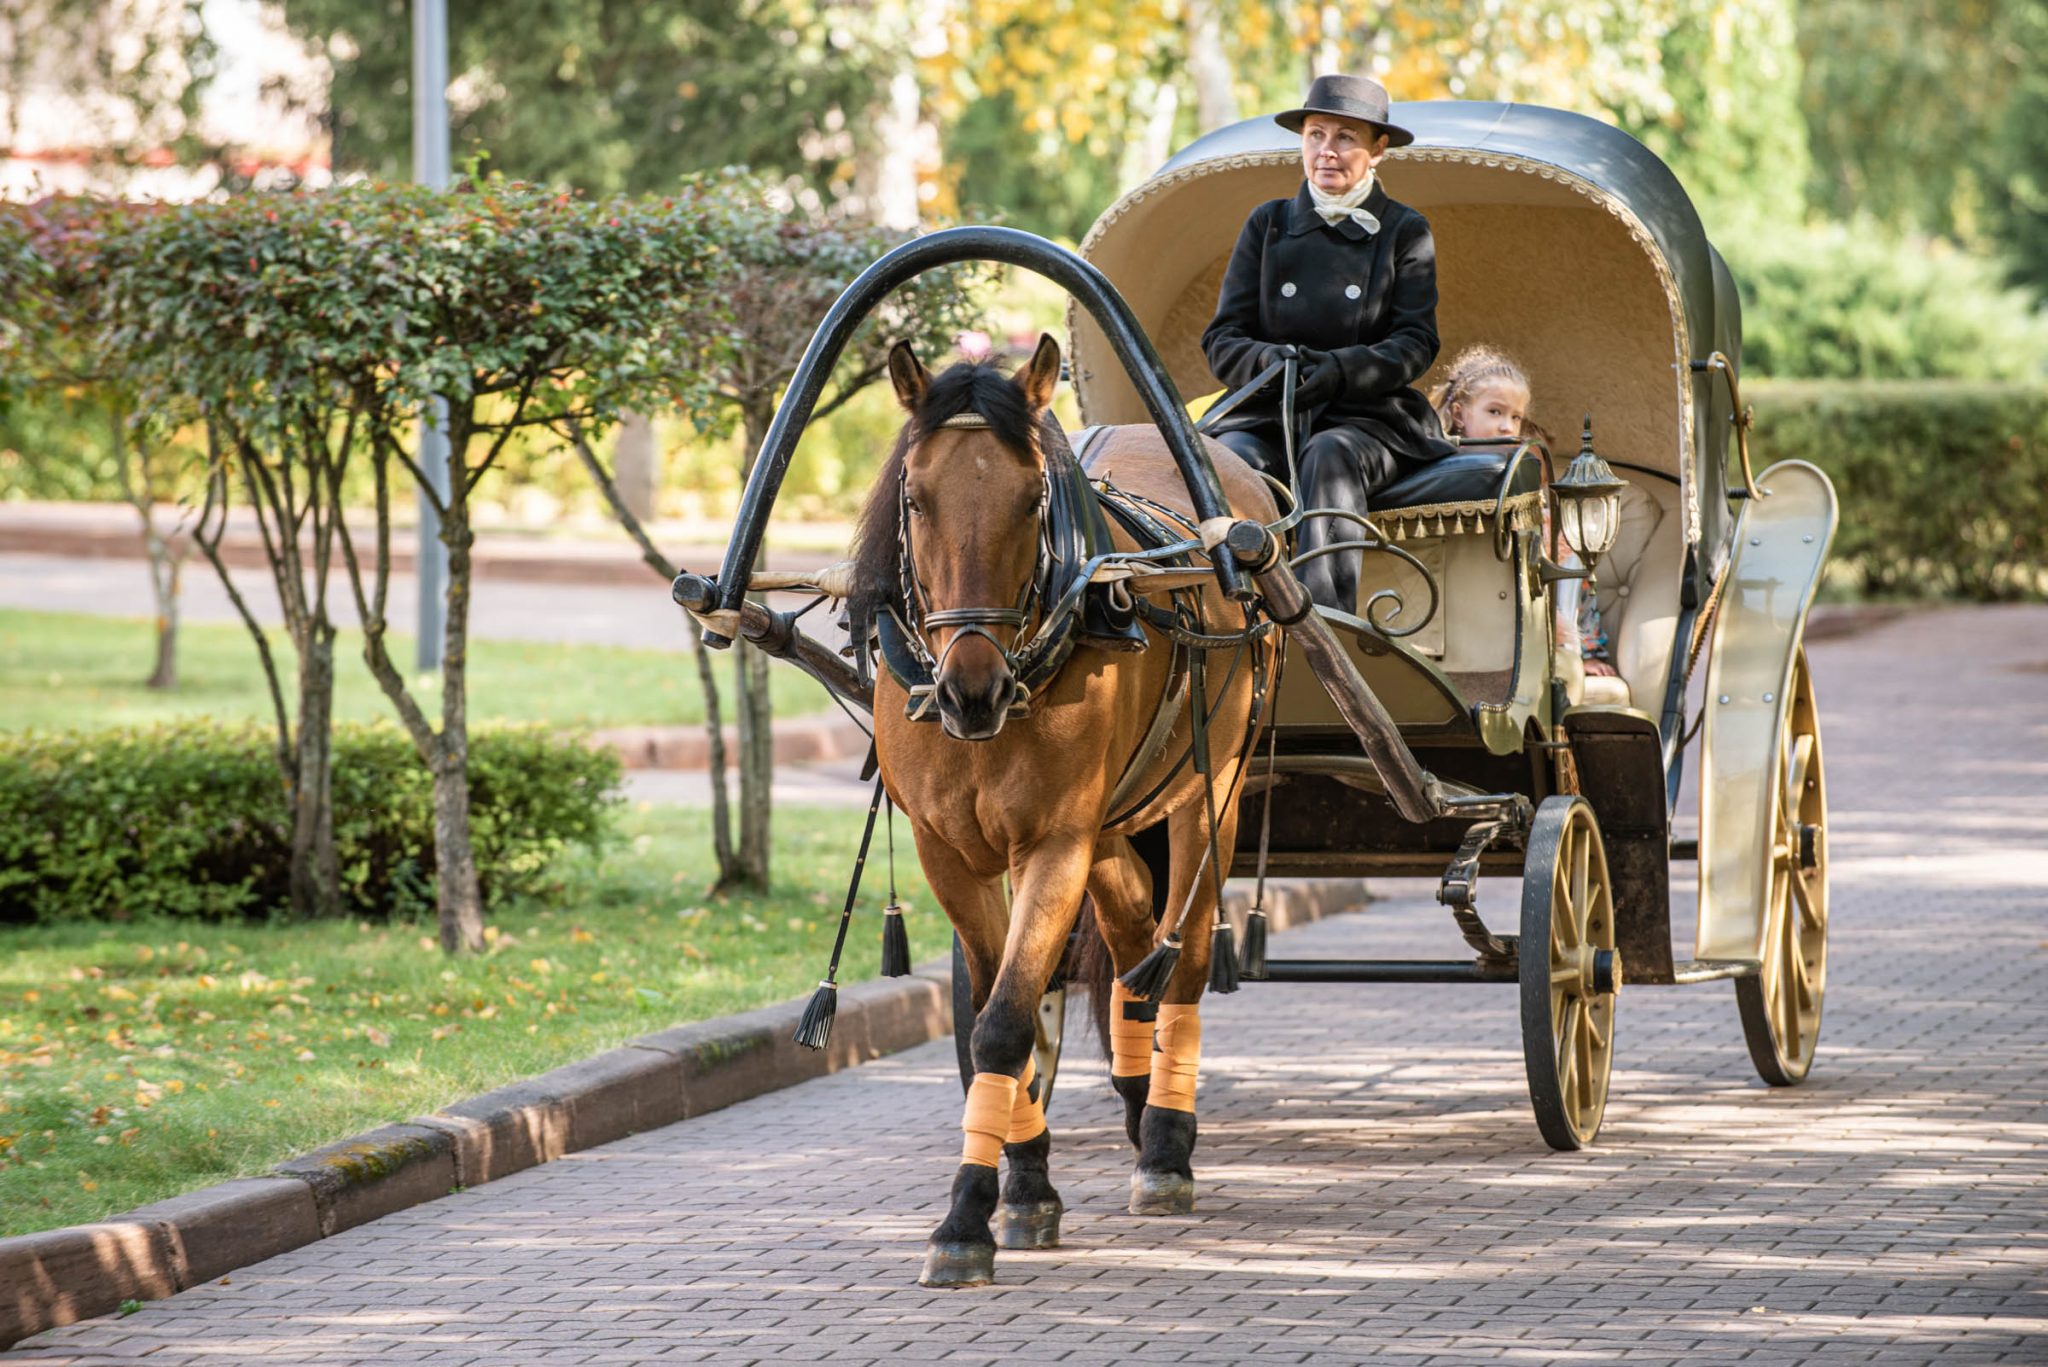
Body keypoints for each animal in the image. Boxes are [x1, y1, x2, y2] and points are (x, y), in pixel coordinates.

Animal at [860, 327, 1277, 1287]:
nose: (969, 688)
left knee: (1184, 956)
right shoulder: (950, 852)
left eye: (1028, 498)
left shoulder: (1054, 842)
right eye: (916, 497)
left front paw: (967, 1217)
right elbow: (994, 1008)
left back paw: (1165, 1141)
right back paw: (1137, 1096)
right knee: (1130, 943)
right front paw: (1024, 1180)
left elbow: (1008, 1022)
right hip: (1117, 819)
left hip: (1210, 791)